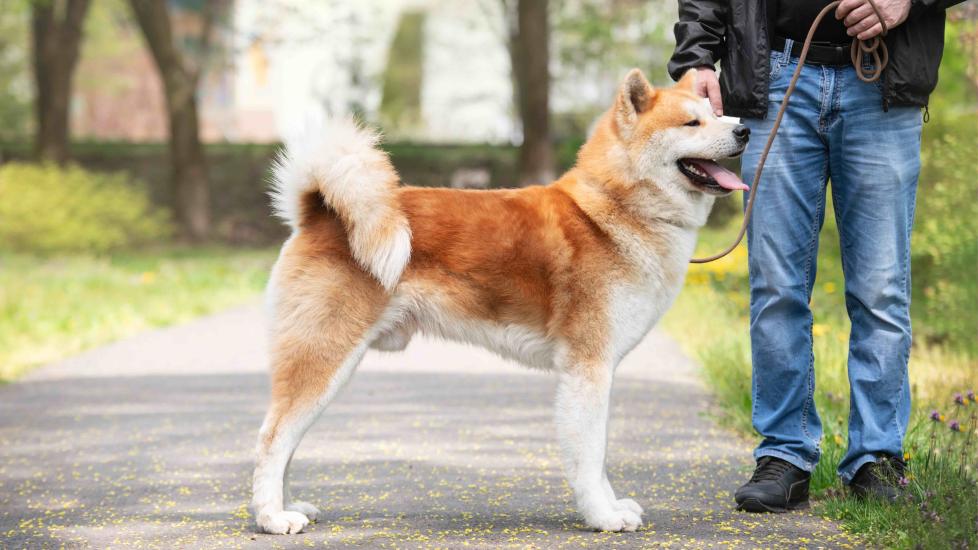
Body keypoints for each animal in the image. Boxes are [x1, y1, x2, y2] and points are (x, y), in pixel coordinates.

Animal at [250, 68, 748, 536]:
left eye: (715, 113)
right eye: (692, 122)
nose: (744, 129)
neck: (614, 208)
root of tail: (317, 213)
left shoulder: (598, 372)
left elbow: (601, 453)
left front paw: (611, 506)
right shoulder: (587, 369)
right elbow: (590, 456)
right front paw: (603, 516)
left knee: (285, 441)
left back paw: (289, 507)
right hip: (325, 356)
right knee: (272, 438)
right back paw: (272, 517)